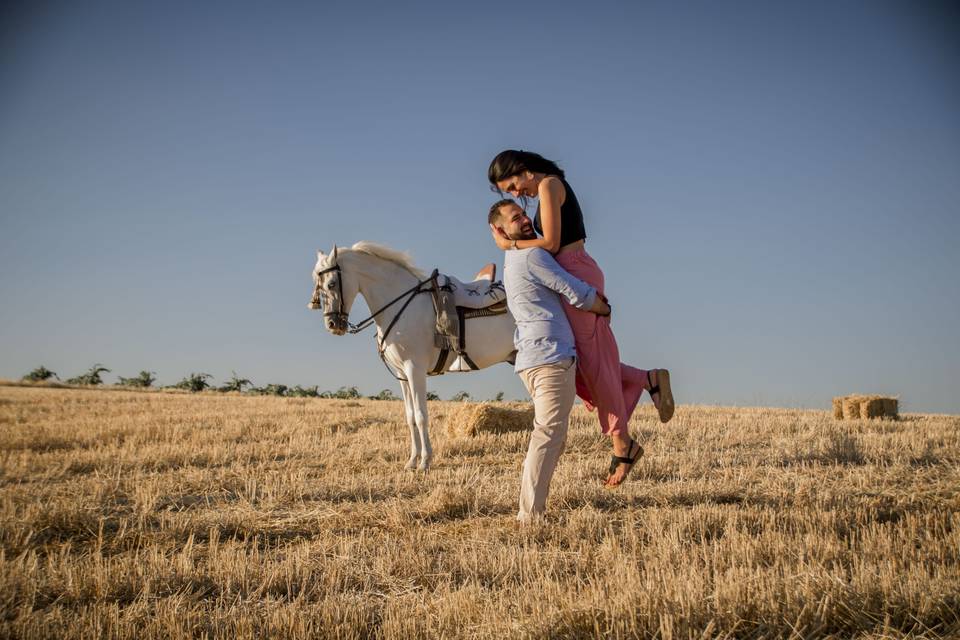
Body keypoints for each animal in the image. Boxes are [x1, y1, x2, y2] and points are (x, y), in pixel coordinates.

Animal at [310, 242, 516, 472]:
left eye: (331, 284)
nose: (332, 325)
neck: (400, 307)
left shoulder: (414, 369)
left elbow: (421, 416)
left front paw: (425, 462)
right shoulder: (402, 374)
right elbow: (410, 417)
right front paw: (412, 461)